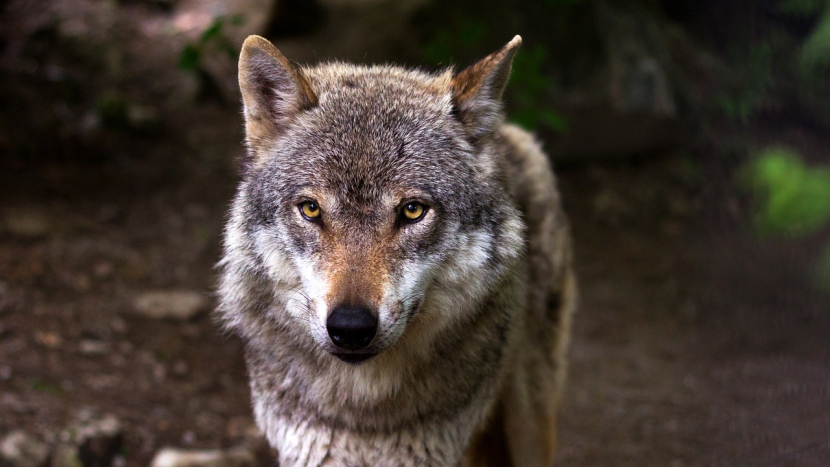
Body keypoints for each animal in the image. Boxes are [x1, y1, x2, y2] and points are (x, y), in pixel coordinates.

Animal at [216, 33, 580, 467]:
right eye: (311, 209)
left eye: (412, 210)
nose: (350, 327)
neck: (366, 416)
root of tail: (506, 132)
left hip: (530, 421)